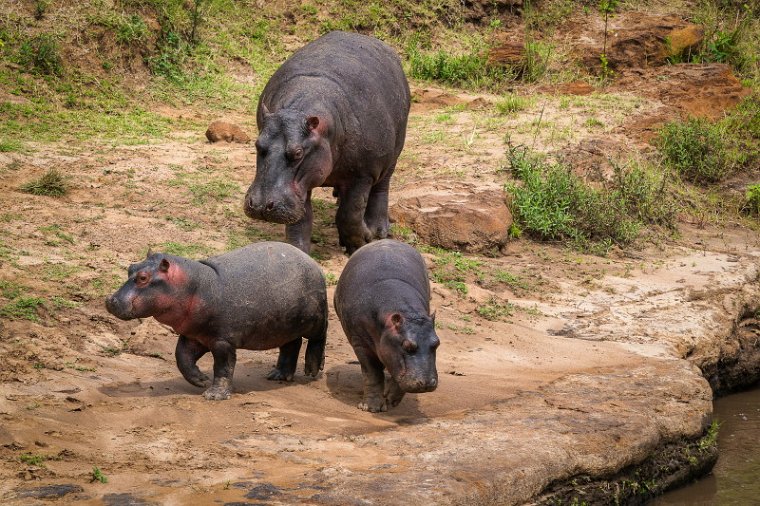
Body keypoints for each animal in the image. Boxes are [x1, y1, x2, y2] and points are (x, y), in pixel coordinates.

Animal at [102, 243, 326, 402]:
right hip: (286, 325)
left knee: (319, 337)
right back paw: (278, 375)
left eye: (143, 277)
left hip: (316, 317)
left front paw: (214, 395)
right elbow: (182, 358)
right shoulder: (193, 335)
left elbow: (224, 367)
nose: (110, 300)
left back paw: (313, 369)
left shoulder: (222, 341)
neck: (193, 285)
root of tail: (310, 260)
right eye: (130, 267)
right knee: (292, 344)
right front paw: (201, 380)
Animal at [243, 29, 410, 255]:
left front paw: (362, 242)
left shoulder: (363, 174)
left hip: (392, 155)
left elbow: (350, 214)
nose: (260, 206)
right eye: (257, 145)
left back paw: (379, 230)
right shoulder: (304, 181)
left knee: (381, 189)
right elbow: (301, 219)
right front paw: (299, 252)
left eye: (298, 153)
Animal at [334, 240, 440, 412]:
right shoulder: (360, 342)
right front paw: (371, 407)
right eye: (407, 345)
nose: (426, 383)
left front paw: (390, 401)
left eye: (437, 343)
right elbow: (372, 374)